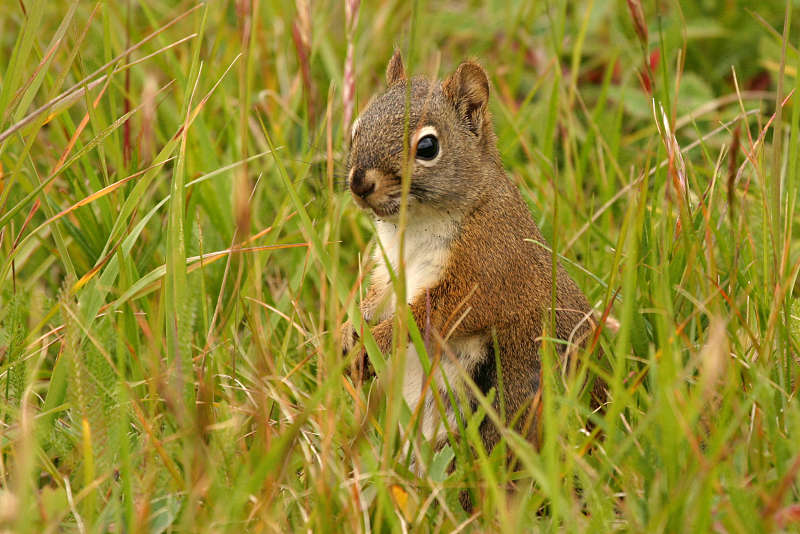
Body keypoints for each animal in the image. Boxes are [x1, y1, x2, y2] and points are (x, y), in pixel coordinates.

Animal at [340, 50, 604, 466]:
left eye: (427, 147)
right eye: (355, 129)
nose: (359, 182)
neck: (415, 227)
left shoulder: (488, 268)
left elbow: (433, 314)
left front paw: (377, 341)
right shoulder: (390, 269)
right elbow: (377, 298)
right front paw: (349, 331)